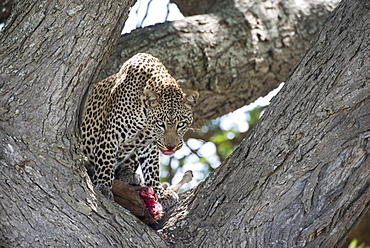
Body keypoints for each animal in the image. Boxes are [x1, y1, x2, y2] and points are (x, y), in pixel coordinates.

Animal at [79, 52, 198, 211]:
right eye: (161, 124)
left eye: (181, 124)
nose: (170, 147)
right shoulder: (111, 133)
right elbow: (106, 160)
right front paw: (103, 186)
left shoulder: (150, 144)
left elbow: (152, 169)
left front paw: (160, 193)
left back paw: (129, 176)